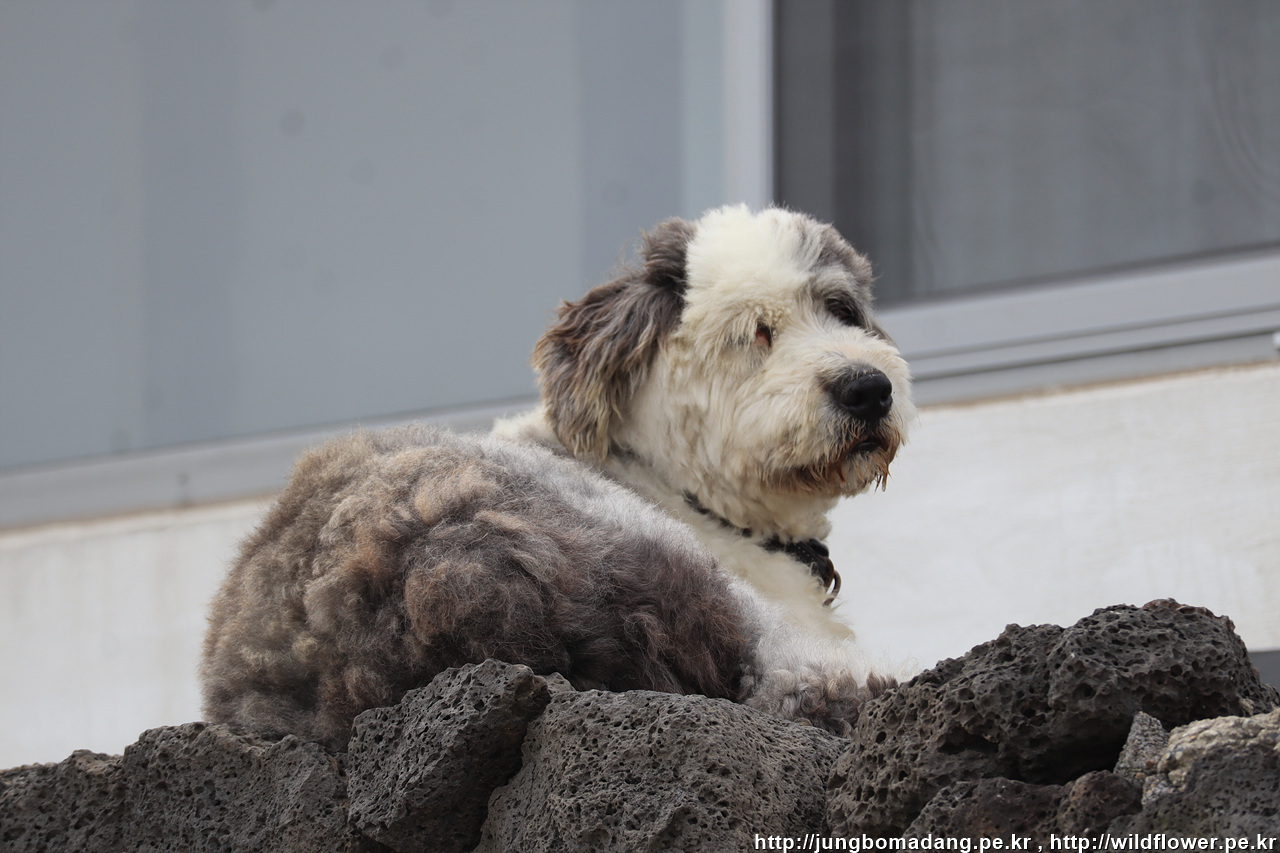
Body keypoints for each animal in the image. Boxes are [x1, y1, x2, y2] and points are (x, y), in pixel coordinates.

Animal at [200, 205, 914, 749]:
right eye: (757, 332)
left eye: (842, 309)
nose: (868, 389)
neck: (677, 486)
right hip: (649, 561)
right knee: (804, 683)